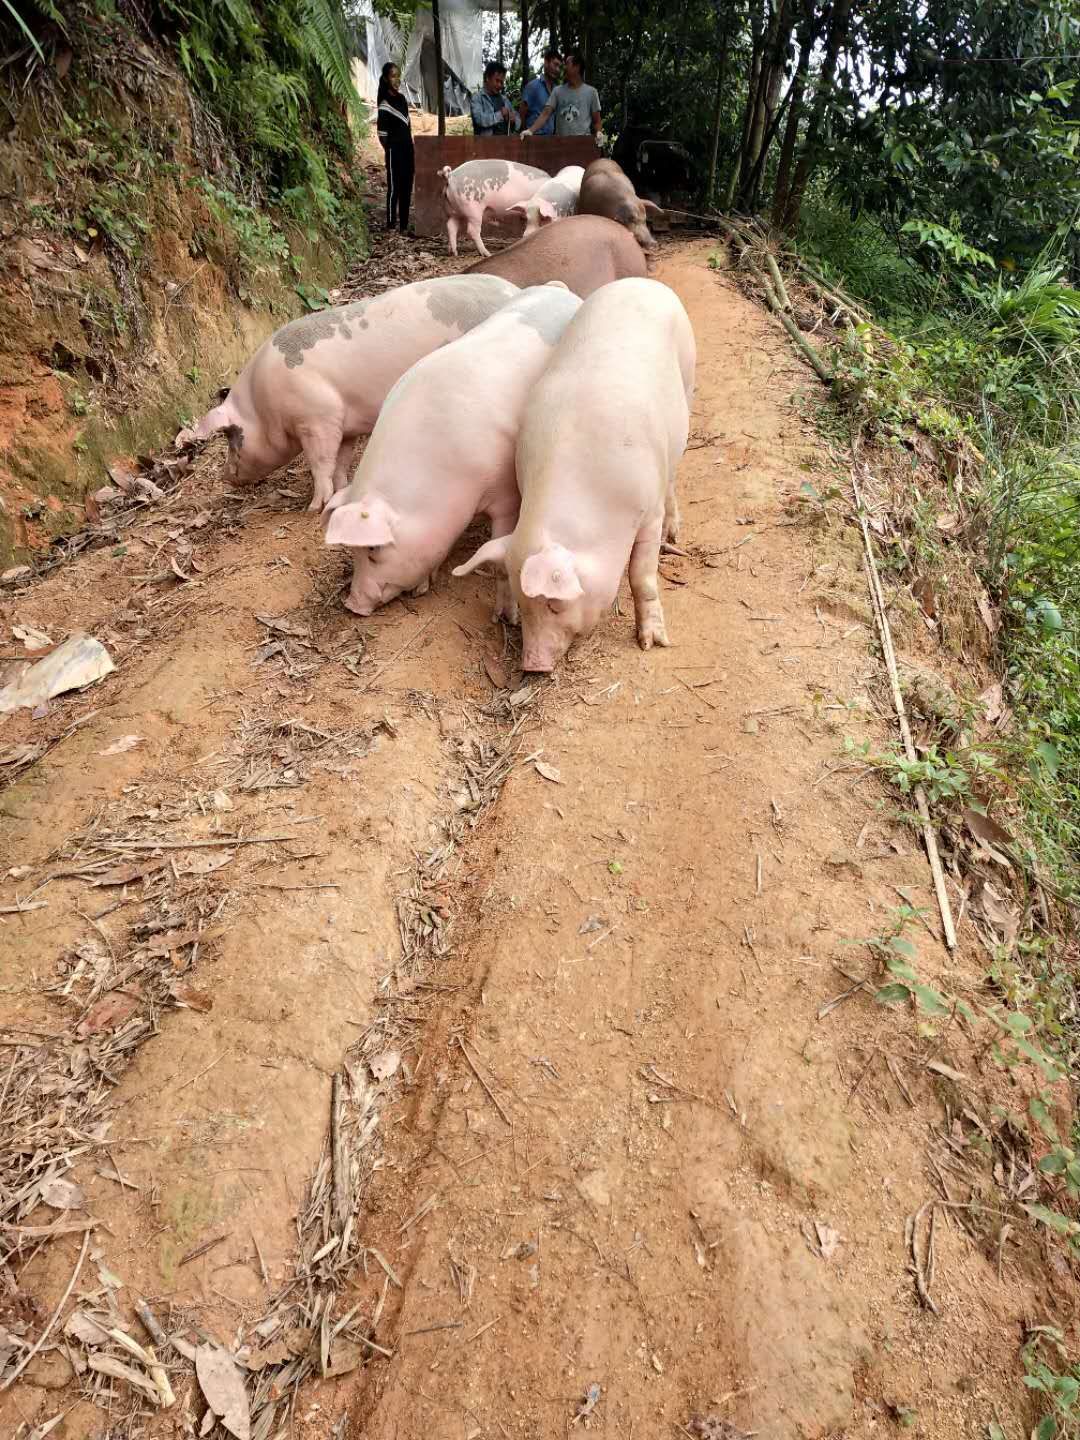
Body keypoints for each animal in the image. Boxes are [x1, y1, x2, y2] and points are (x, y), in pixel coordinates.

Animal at [182, 273, 521, 512]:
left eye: (232, 437)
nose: (224, 476)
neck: (263, 406)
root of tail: (512, 290)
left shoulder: (318, 416)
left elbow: (320, 462)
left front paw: (313, 507)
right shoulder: (344, 425)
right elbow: (341, 461)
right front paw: (342, 488)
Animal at [452, 277, 696, 671]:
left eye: (554, 604)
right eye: (524, 605)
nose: (533, 665)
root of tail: (643, 282)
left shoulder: (647, 511)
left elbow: (641, 576)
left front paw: (652, 644)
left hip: (688, 379)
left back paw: (673, 533)